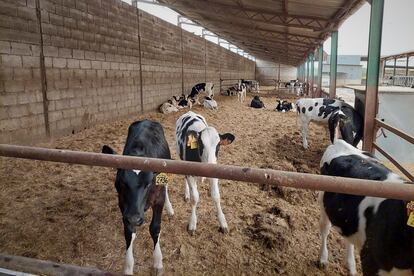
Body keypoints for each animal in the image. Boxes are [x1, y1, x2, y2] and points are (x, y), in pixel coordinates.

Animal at [102, 121, 175, 276]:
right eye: (121, 183)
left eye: (148, 184)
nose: (135, 219)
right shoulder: (123, 205)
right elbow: (129, 232)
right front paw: (128, 267)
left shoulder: (158, 199)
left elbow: (155, 228)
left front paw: (158, 262)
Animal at [318, 140, 412, 276]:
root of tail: (340, 142)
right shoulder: (370, 262)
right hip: (322, 201)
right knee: (325, 229)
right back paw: (323, 258)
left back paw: (351, 267)